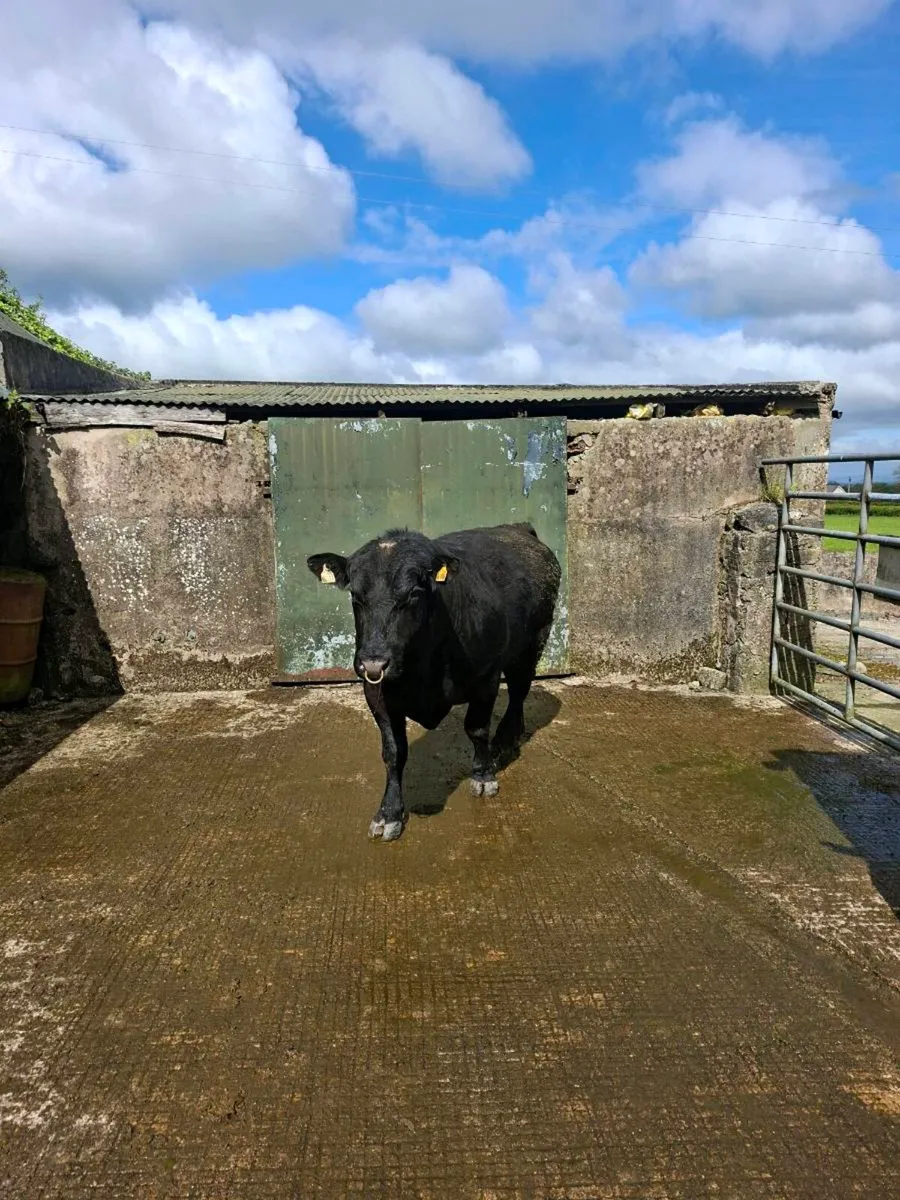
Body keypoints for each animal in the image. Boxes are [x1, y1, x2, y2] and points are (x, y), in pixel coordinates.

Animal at [307, 523, 561, 842]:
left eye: (414, 593)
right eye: (355, 596)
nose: (374, 661)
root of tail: (518, 528)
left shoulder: (486, 676)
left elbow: (477, 729)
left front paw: (483, 775)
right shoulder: (376, 691)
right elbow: (393, 752)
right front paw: (389, 814)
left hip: (533, 642)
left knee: (518, 691)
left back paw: (505, 740)